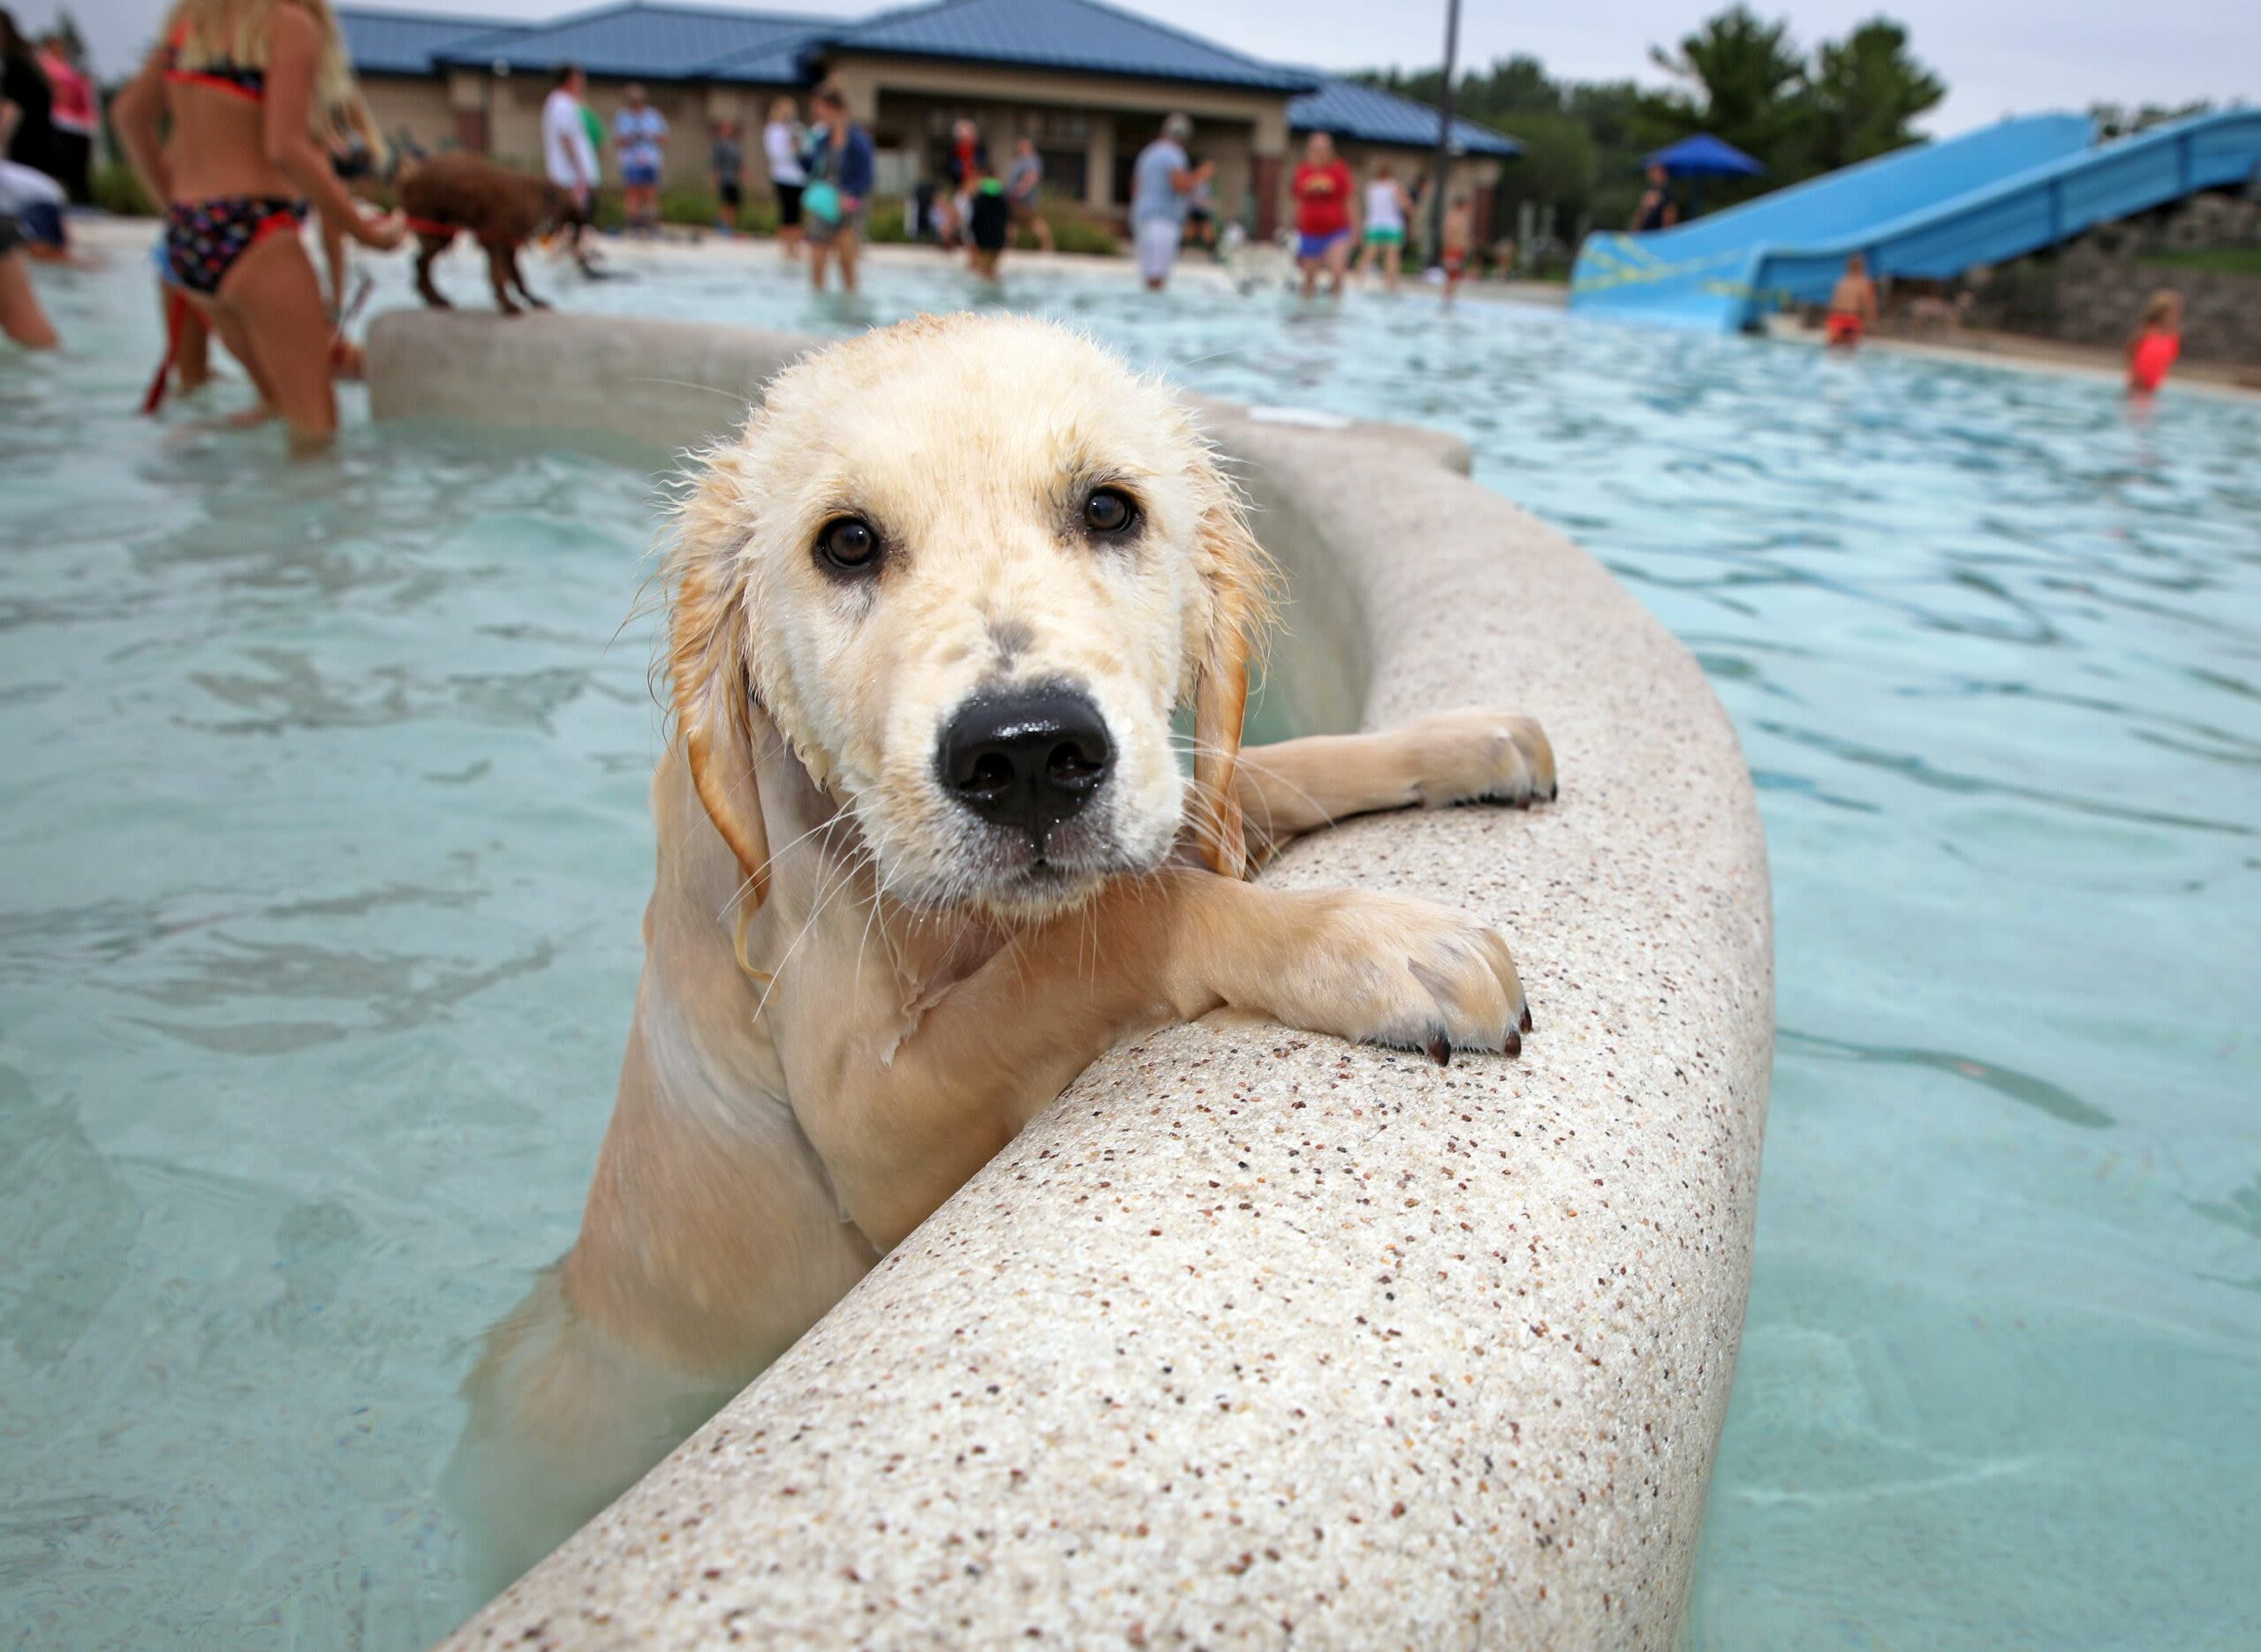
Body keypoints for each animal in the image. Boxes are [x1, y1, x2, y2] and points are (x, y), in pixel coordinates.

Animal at [452, 313, 1564, 1590]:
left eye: (1109, 508)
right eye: (846, 542)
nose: (1028, 753)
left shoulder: (1170, 791)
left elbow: (1261, 777)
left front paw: (1466, 739)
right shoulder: (871, 1128)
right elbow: (1120, 916)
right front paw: (1374, 939)